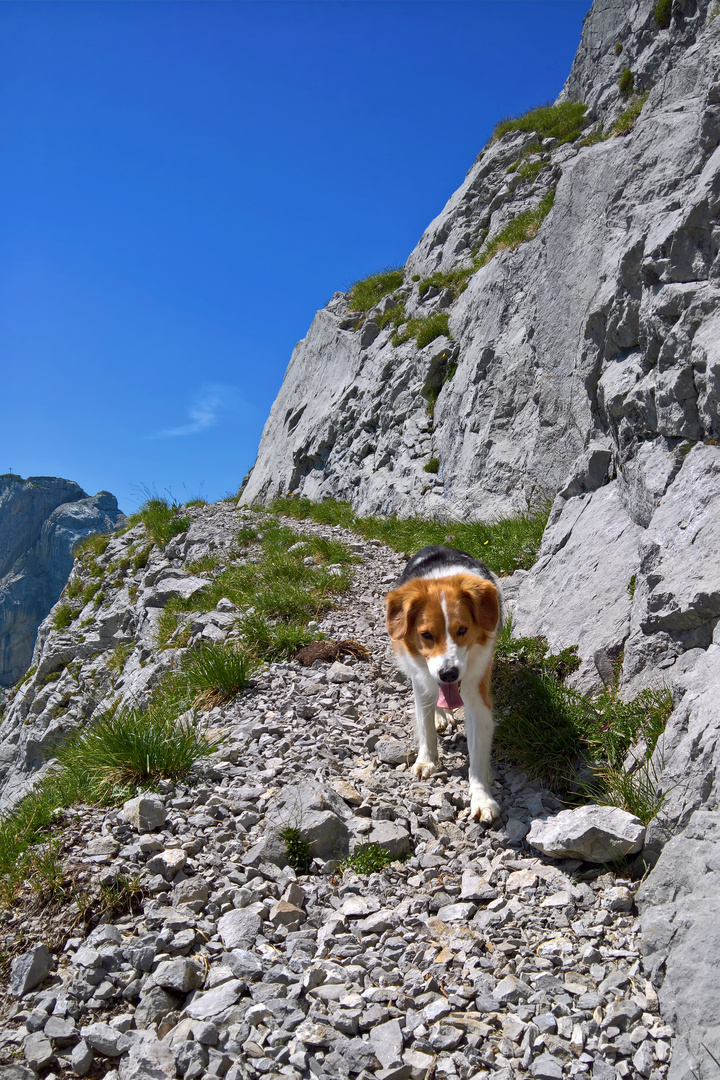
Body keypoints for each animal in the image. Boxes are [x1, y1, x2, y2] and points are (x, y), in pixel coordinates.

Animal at [386, 544, 505, 820]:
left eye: (462, 630)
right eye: (426, 635)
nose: (448, 674)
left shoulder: (476, 689)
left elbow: (477, 751)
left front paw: (482, 797)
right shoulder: (421, 680)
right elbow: (425, 724)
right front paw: (427, 760)